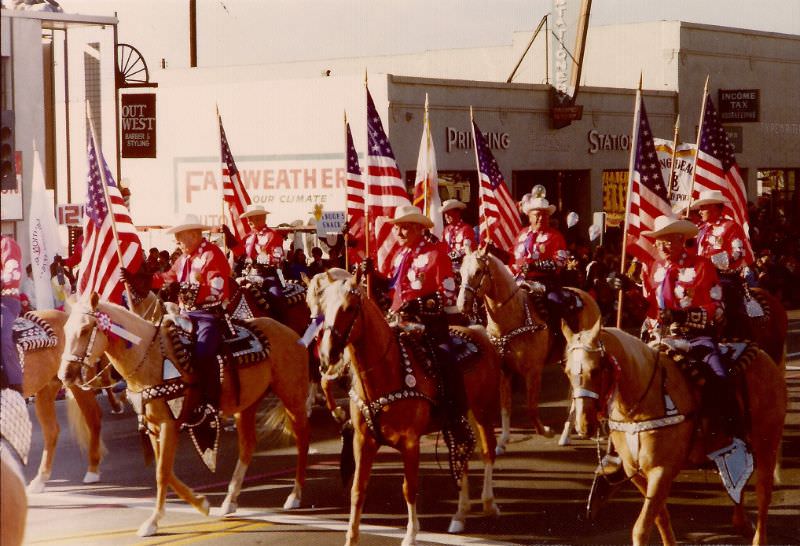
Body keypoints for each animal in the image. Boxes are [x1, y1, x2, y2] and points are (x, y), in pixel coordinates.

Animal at [57, 294, 310, 536]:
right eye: (66, 330)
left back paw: (295, 496)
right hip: (246, 405)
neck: (149, 358)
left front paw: (153, 522)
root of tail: (288, 332)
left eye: (85, 330)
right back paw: (230, 500)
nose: (65, 375)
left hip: (292, 397)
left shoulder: (169, 423)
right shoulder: (153, 427)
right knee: (248, 446)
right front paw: (201, 503)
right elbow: (165, 470)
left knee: (302, 442)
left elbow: (162, 472)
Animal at [318, 276, 500, 544]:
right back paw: (460, 514)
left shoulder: (410, 442)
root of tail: (478, 331)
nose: (326, 354)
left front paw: (411, 534)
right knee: (462, 455)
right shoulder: (363, 441)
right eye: (323, 308)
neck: (387, 371)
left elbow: (409, 488)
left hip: (483, 410)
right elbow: (358, 489)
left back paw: (488, 503)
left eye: (349, 308)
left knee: (487, 452)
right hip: (458, 418)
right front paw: (351, 537)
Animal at [456, 246, 600, 450]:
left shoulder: (533, 371)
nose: (462, 304)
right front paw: (503, 441)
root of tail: (586, 295)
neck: (512, 317)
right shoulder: (505, 370)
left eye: (478, 271)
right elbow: (505, 406)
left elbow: (531, 408)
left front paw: (546, 431)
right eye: (460, 272)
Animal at [564, 318, 784, 544]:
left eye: (596, 370)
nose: (583, 425)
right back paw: (742, 523)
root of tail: (765, 358)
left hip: (767, 443)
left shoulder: (661, 471)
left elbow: (641, 528)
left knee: (763, 493)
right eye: (567, 371)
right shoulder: (636, 473)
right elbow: (660, 517)